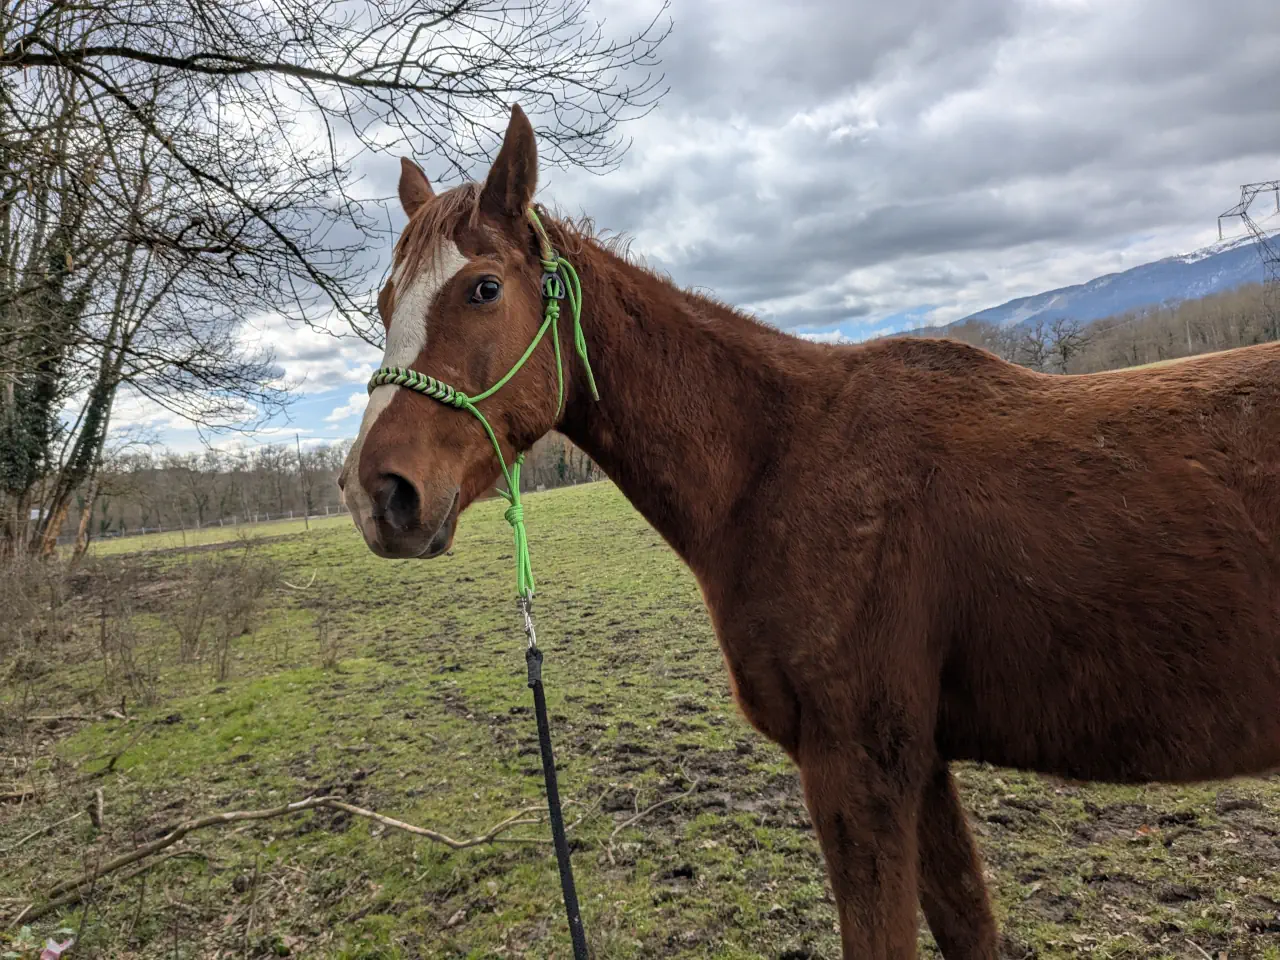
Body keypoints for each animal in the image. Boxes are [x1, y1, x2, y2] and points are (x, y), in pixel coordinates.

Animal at [337, 104, 1280, 958]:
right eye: (385, 301)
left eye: (484, 288)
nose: (376, 495)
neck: (780, 462)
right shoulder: (921, 765)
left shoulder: (859, 766)